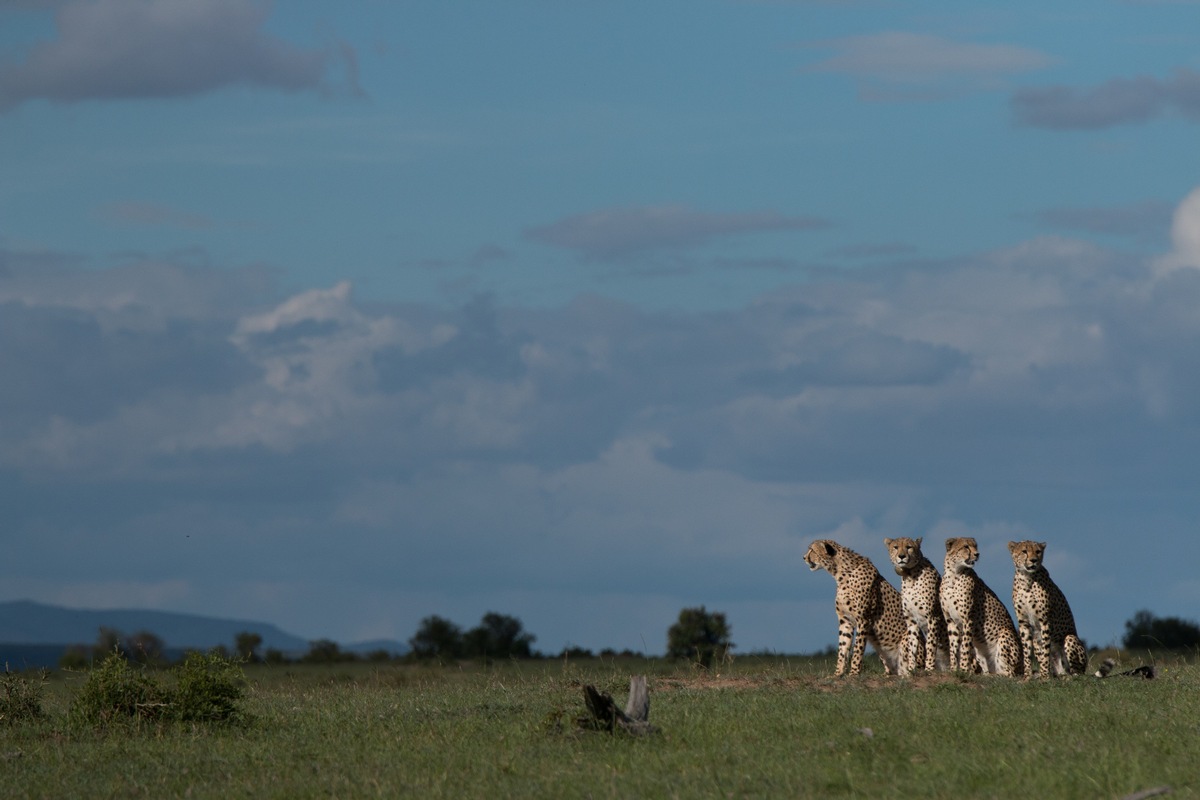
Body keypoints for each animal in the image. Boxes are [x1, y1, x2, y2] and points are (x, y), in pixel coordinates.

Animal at [801, 537, 902, 676]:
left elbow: (858, 649)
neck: (839, 573)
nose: (804, 557)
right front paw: (838, 673)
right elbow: (843, 647)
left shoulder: (863, 619)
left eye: (812, 550)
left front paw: (853, 673)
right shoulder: (845, 620)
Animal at [883, 534, 945, 671]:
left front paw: (929, 668)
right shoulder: (911, 620)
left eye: (909, 547)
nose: (901, 556)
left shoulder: (933, 617)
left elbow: (930, 644)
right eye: (896, 547)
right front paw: (911, 669)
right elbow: (912, 647)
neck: (909, 575)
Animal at [936, 537, 1022, 676]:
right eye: (966, 547)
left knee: (1009, 673)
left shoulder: (968, 619)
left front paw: (964, 669)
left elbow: (964, 647)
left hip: (1005, 634)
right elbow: (954, 648)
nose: (977, 554)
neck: (953, 574)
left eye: (975, 546)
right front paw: (954, 669)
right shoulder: (951, 621)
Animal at [1003, 542, 1089, 681]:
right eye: (1024, 551)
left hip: (1070, 638)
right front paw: (1027, 676)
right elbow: (1027, 652)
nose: (1034, 560)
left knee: (1076, 672)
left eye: (1038, 552)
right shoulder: (1024, 623)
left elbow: (1045, 651)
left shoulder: (1045, 621)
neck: (1026, 578)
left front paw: (1044, 676)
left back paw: (1068, 676)